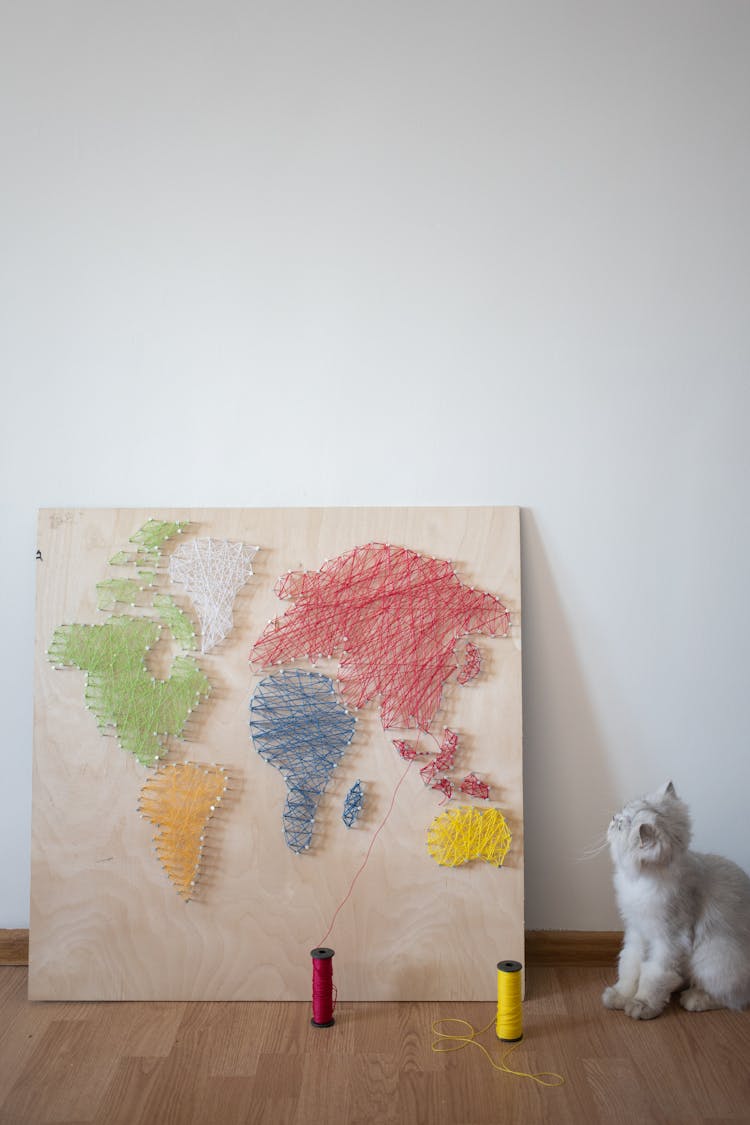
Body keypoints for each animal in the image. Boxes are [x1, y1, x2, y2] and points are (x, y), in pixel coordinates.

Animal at [602, 783, 750, 1021]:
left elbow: (652, 975)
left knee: (733, 998)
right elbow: (630, 967)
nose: (613, 818)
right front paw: (620, 997)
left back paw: (694, 999)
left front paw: (641, 1005)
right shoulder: (637, 932)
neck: (639, 884)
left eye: (620, 826)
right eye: (620, 814)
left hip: (713, 956)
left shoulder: (669, 941)